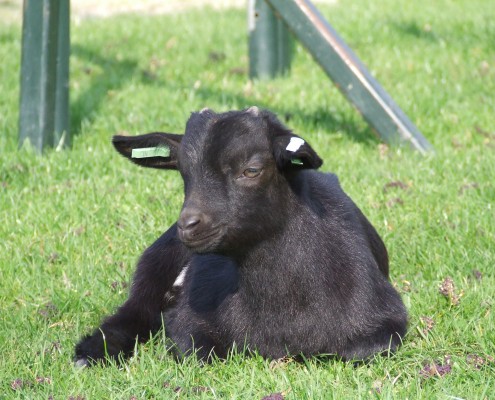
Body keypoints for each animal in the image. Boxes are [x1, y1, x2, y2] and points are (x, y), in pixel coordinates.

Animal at [73, 107, 406, 366]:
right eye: (182, 171)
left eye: (252, 169)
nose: (189, 225)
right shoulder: (190, 321)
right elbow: (197, 350)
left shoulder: (384, 321)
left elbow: (364, 350)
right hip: (157, 261)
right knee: (136, 309)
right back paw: (91, 353)